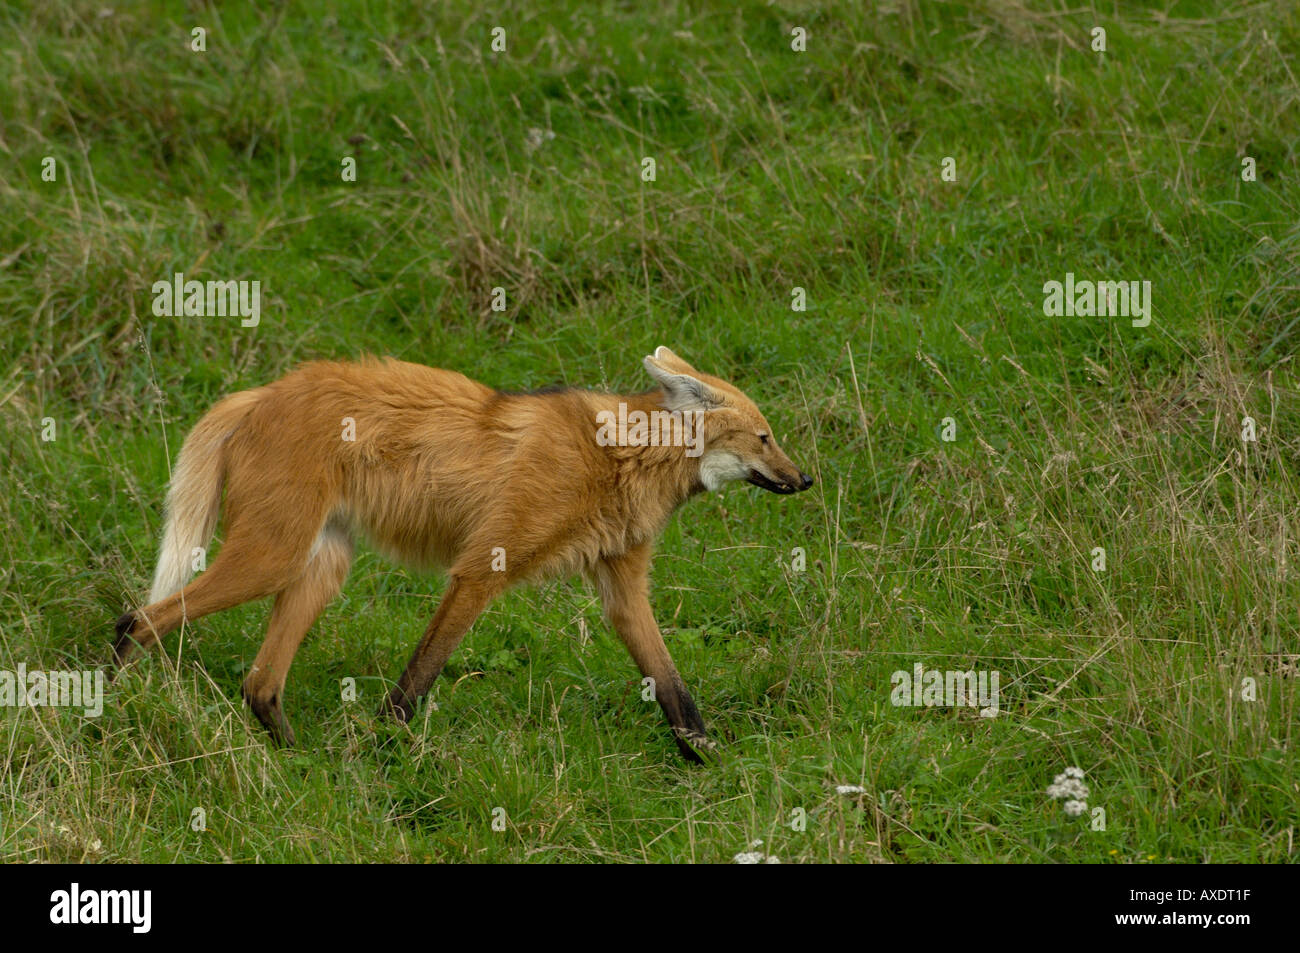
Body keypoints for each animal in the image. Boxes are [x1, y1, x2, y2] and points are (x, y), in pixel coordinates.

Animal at [119, 345, 811, 764]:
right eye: (765, 437)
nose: (806, 479)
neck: (622, 456)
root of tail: (259, 393)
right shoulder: (481, 569)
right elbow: (418, 678)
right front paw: (384, 748)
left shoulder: (621, 586)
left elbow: (671, 685)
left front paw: (708, 756)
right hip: (271, 558)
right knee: (138, 619)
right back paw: (121, 703)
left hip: (319, 566)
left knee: (260, 684)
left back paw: (300, 761)